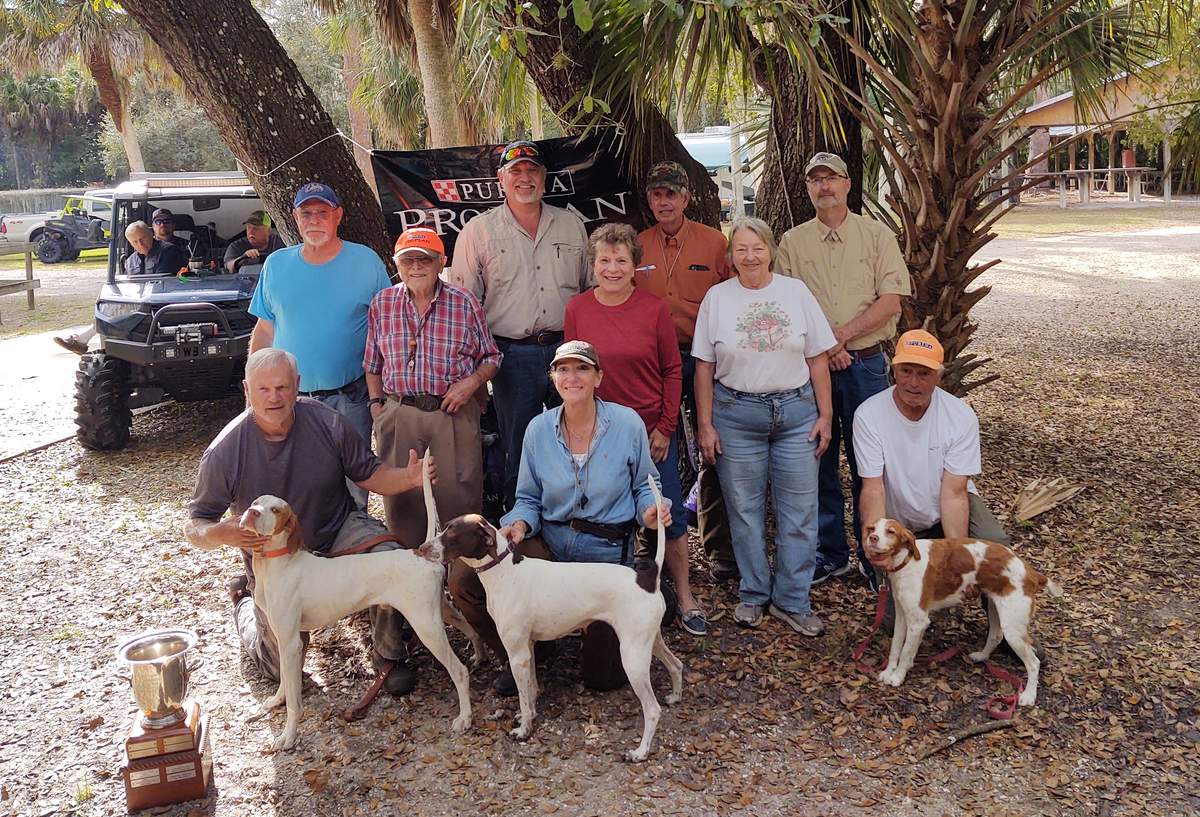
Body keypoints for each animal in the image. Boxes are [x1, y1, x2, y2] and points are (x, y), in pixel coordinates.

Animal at [236, 455, 475, 748]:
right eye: (255, 501)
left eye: (276, 510)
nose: (252, 512)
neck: (280, 564)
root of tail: (418, 554)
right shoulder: (285, 639)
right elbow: (284, 679)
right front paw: (276, 700)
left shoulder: (291, 641)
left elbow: (294, 701)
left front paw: (288, 735)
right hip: (437, 610)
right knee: (470, 627)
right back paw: (479, 655)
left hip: (426, 626)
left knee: (460, 671)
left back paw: (465, 718)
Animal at [420, 475, 686, 763]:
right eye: (444, 529)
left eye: (453, 534)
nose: (421, 548)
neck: (505, 573)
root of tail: (648, 578)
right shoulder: (527, 648)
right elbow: (531, 690)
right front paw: (529, 716)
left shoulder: (517, 654)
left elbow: (524, 697)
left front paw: (523, 730)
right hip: (649, 641)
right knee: (676, 665)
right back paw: (675, 697)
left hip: (633, 657)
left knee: (652, 709)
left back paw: (640, 751)